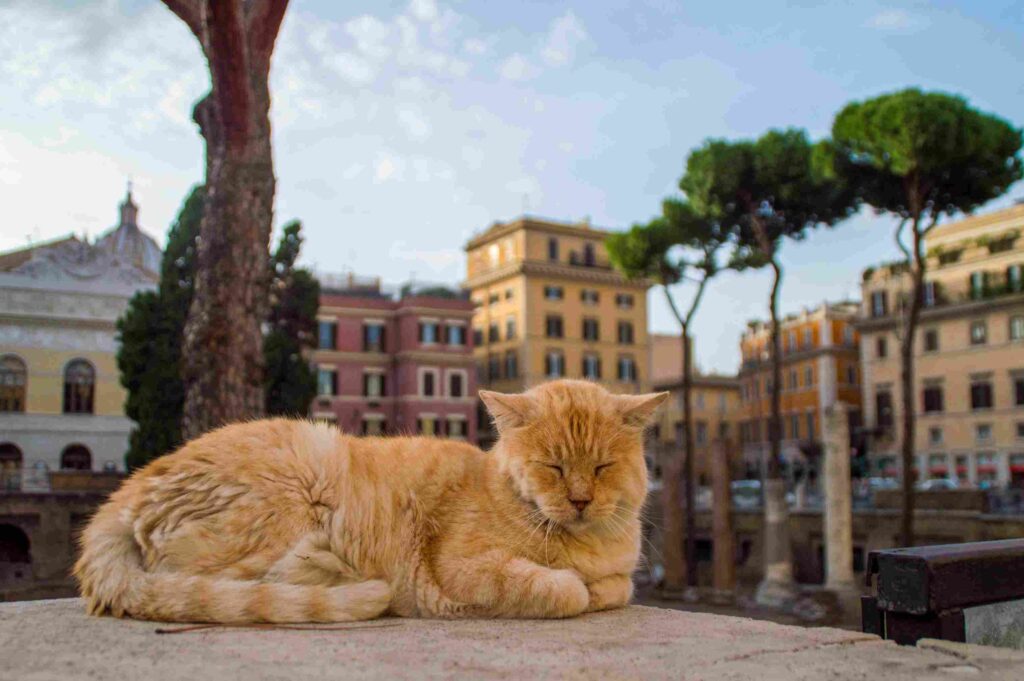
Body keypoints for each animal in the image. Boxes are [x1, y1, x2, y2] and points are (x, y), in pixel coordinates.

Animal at [72, 376, 663, 622]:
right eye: (553, 466)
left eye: (602, 467)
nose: (581, 500)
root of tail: (128, 490)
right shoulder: (462, 570)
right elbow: (565, 590)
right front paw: (573, 585)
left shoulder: (620, 571)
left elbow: (618, 587)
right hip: (297, 483)